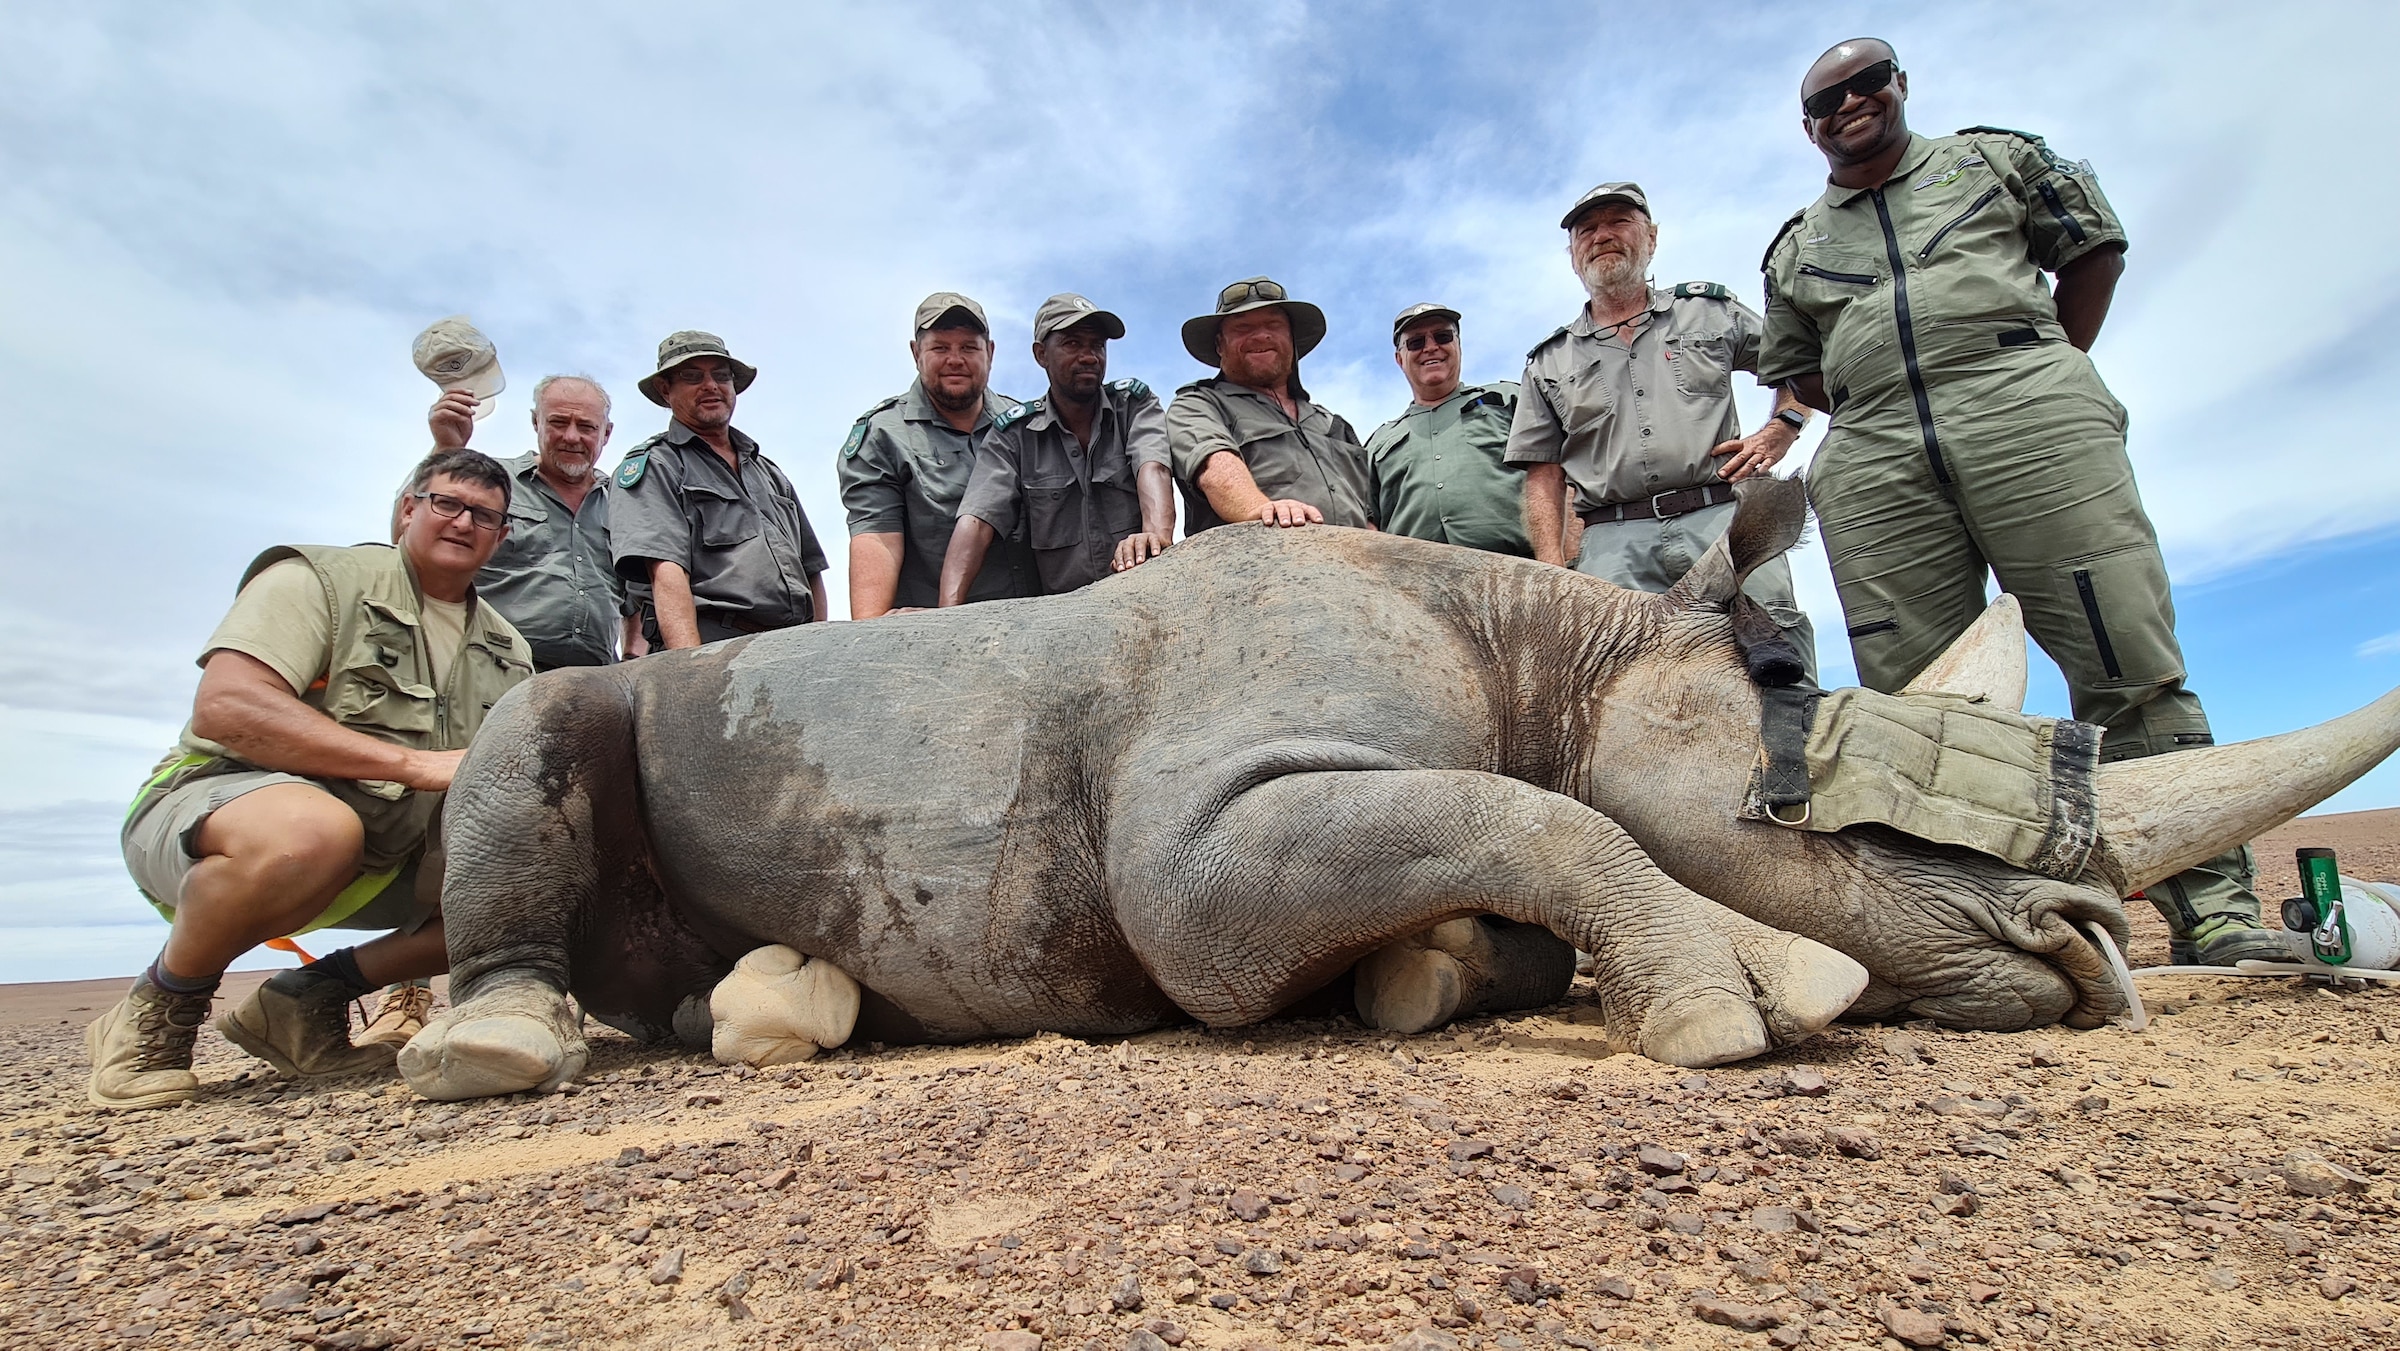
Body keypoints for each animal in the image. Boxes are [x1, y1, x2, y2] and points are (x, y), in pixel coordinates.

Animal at [399, 479, 2400, 1100]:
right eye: (1840, 812)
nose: (2090, 952)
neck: (1560, 646)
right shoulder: (1201, 841)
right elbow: (1539, 819)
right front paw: (1759, 997)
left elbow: (1499, 872)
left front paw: (1424, 974)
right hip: (604, 684)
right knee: (542, 718)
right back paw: (497, 1048)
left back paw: (770, 1008)